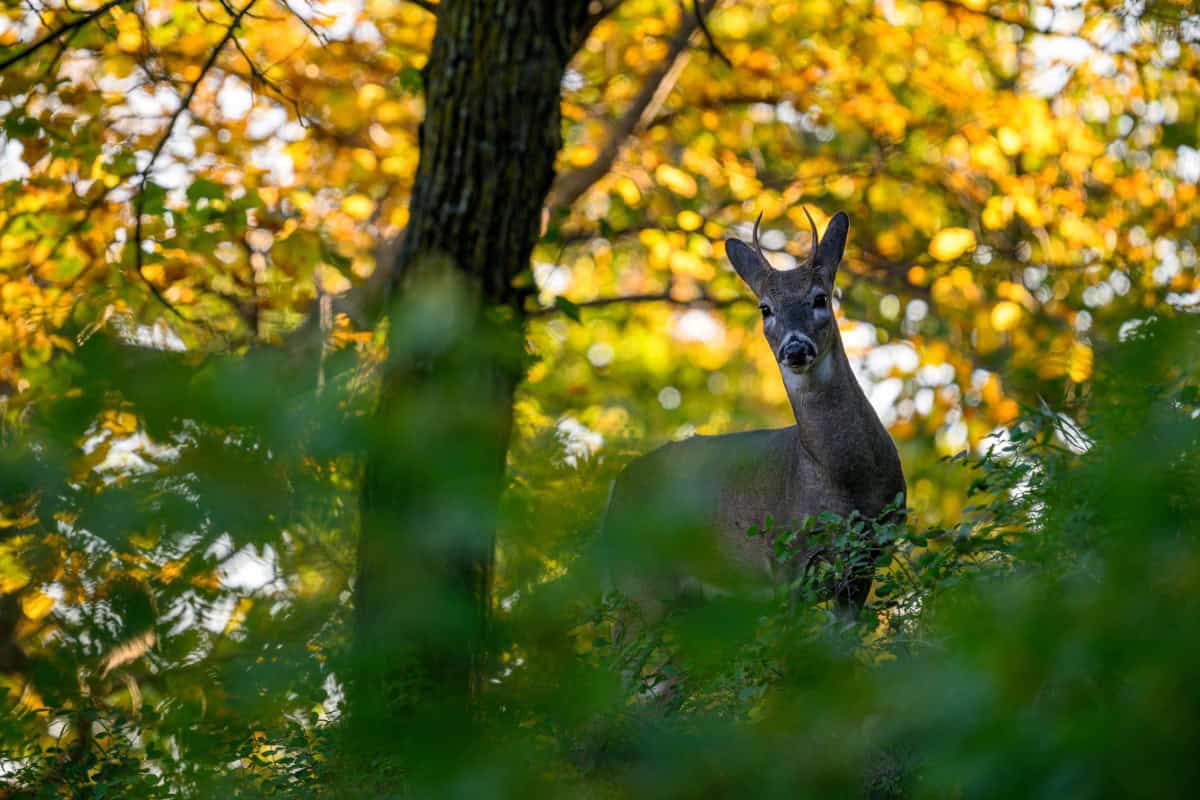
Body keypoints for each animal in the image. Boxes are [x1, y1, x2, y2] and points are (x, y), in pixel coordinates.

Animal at [602, 209, 906, 633]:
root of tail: (616, 490)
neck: (843, 479)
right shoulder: (784, 561)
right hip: (640, 585)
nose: (795, 348)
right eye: (765, 308)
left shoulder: (865, 559)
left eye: (820, 298)